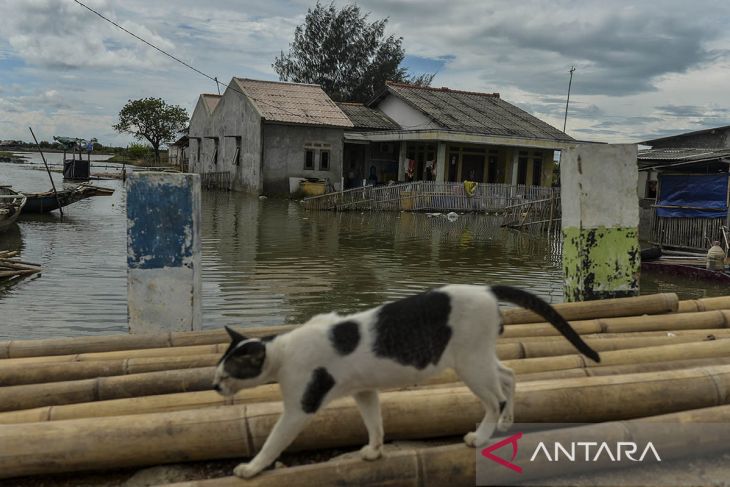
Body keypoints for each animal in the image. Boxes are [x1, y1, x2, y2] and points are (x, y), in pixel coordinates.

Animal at [213, 284, 600, 478]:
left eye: (227, 373)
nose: (215, 386)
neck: (282, 350)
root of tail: (486, 288)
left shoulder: (299, 407)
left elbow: (272, 441)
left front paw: (251, 468)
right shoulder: (364, 391)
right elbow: (375, 423)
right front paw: (374, 451)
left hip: (470, 364)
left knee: (495, 398)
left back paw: (482, 435)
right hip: (479, 357)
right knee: (509, 376)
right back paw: (507, 423)